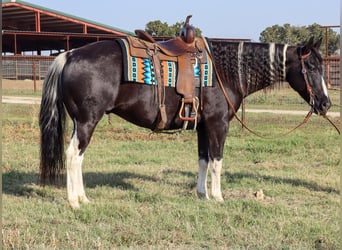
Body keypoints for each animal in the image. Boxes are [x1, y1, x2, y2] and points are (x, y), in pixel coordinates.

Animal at [40, 35, 332, 207]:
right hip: (87, 121)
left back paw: (82, 198)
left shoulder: (203, 126)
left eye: (322, 66)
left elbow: (203, 160)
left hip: (81, 122)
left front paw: (202, 194)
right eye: (312, 67)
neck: (226, 72)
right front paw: (218, 197)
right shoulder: (218, 124)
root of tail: (70, 55)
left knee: (77, 157)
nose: (326, 104)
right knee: (73, 156)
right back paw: (76, 201)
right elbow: (217, 162)